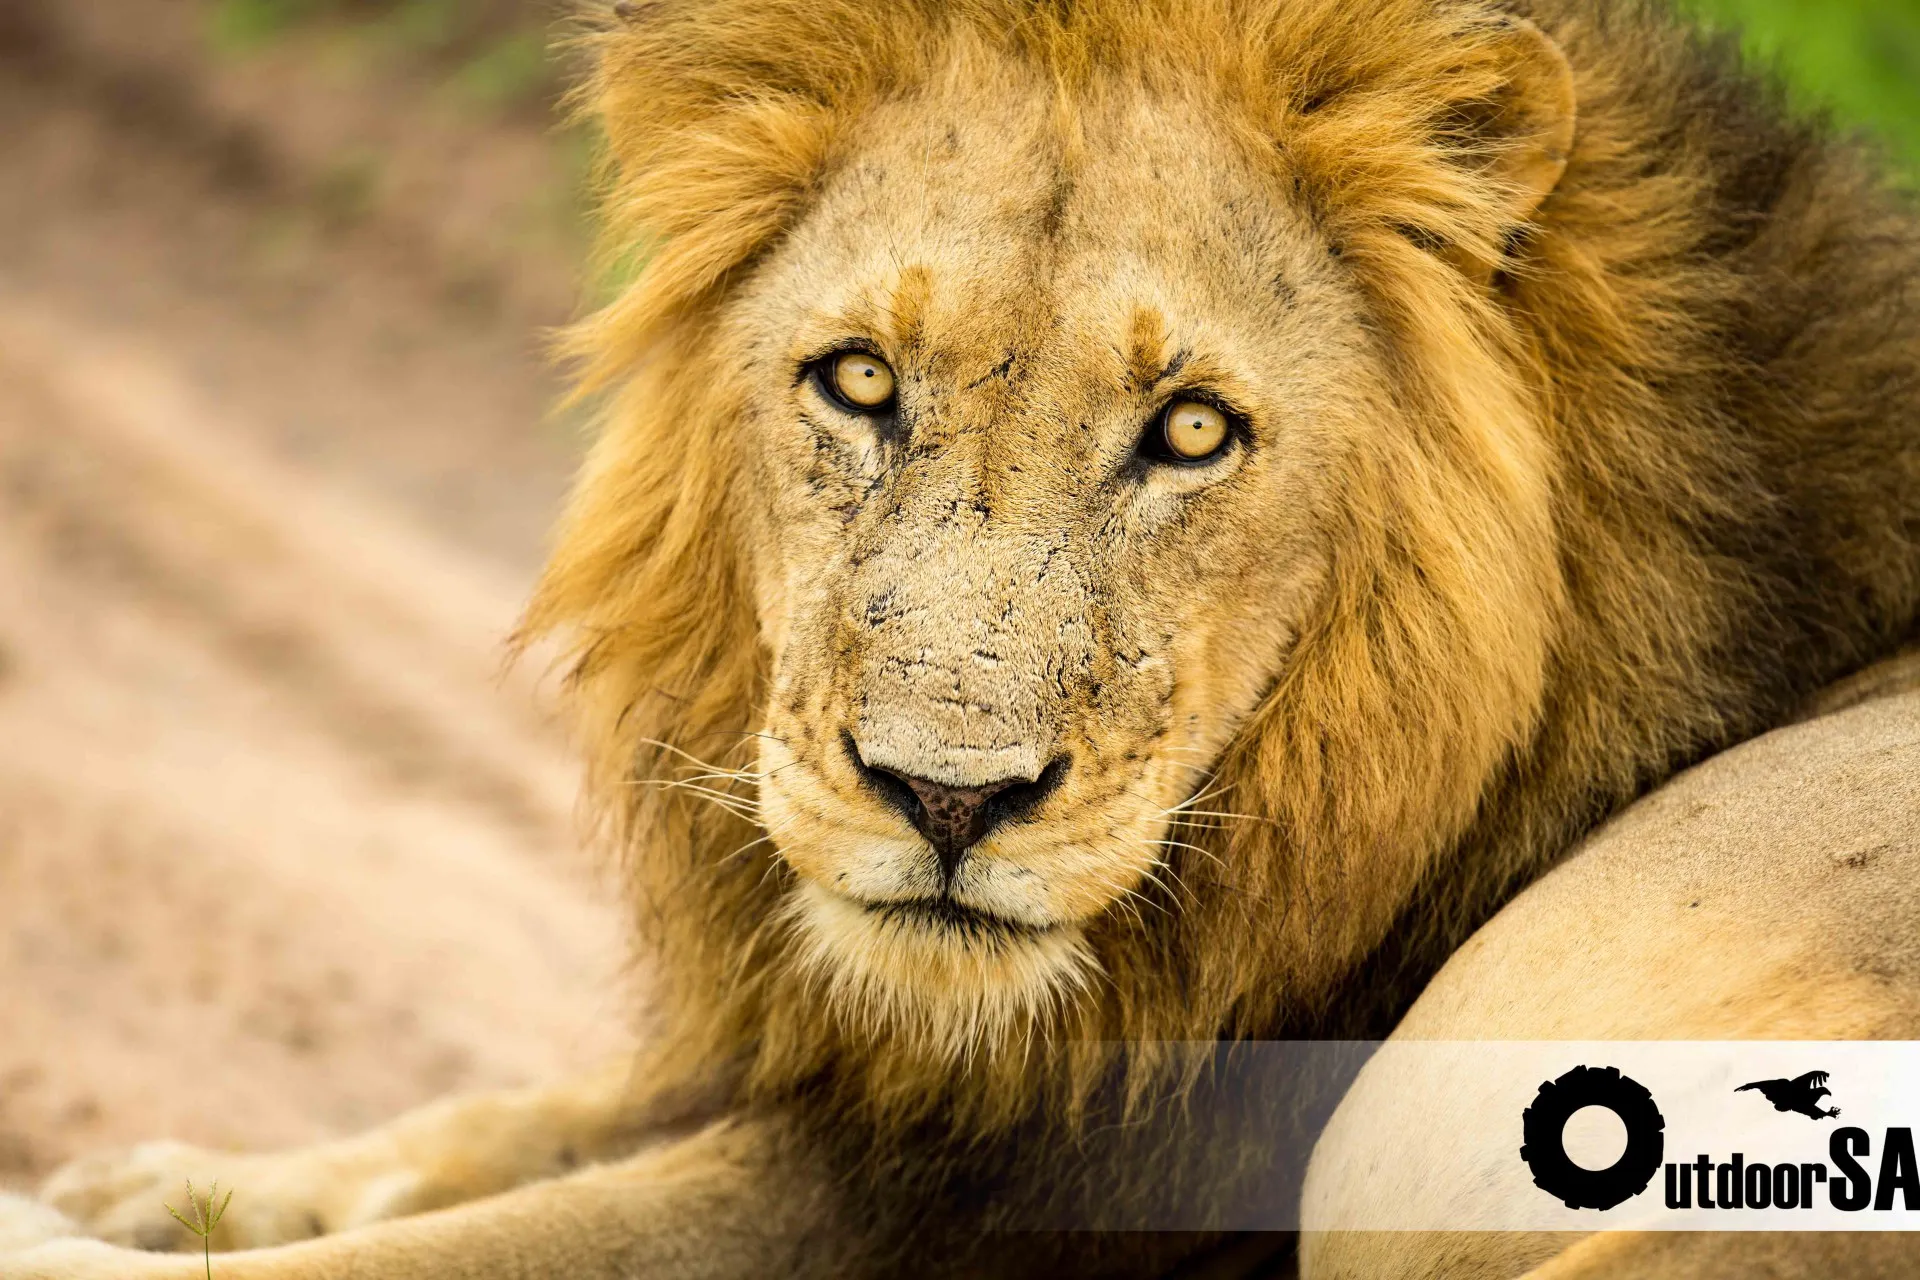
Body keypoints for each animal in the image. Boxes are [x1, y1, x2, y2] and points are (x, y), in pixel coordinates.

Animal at [7, 0, 1920, 1276]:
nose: (944, 801)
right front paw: (163, 1186)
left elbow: (485, 1239)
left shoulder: (1012, 1197)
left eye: (1192, 431)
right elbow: (527, 1117)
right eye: (860, 381)